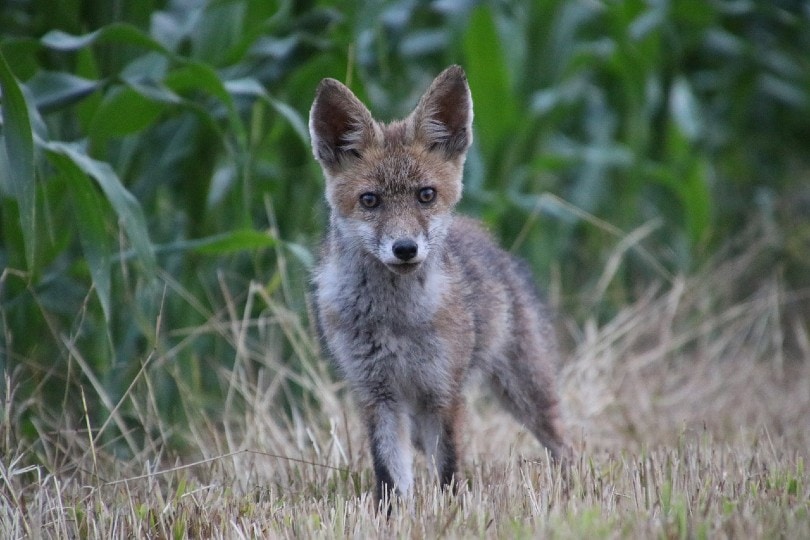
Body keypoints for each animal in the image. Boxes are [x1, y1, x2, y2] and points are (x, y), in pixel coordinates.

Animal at [308, 65, 569, 509]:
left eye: (425, 195)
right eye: (370, 200)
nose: (405, 248)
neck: (395, 321)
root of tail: (486, 238)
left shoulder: (442, 393)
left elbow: (447, 469)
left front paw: (451, 511)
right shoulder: (377, 396)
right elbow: (391, 476)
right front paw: (395, 516)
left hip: (525, 389)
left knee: (561, 440)